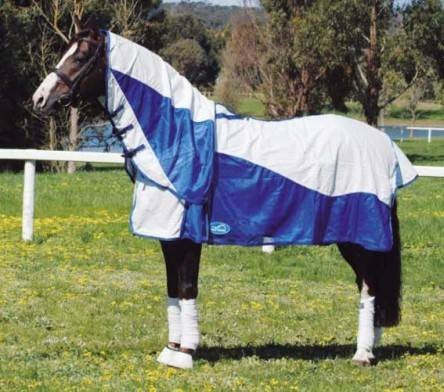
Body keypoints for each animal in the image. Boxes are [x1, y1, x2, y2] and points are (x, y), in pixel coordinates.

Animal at [32, 17, 416, 368]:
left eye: (81, 56)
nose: (40, 98)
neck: (177, 134)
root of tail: (384, 146)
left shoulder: (187, 236)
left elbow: (187, 288)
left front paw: (186, 353)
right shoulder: (169, 235)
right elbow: (172, 289)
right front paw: (171, 349)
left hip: (359, 238)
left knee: (369, 286)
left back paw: (363, 355)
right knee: (371, 284)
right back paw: (371, 347)